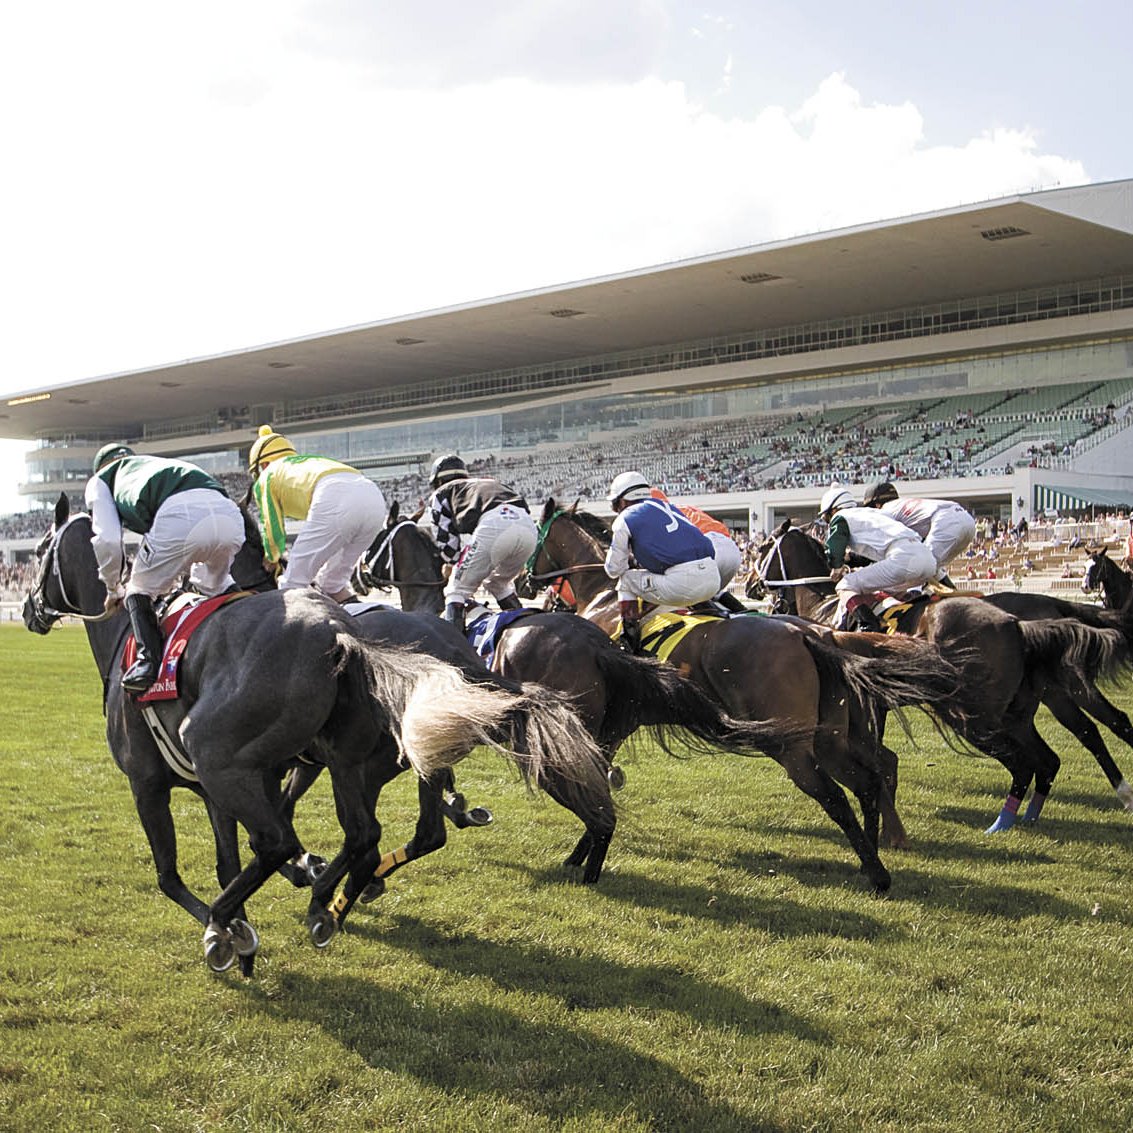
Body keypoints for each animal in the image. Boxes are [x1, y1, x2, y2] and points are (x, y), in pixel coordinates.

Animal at [516, 500, 974, 888]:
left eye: (536, 534)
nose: (524, 582)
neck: (603, 597)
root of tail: (810, 635)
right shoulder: (622, 718)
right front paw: (585, 848)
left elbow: (592, 777)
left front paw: (583, 850)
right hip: (832, 737)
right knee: (869, 778)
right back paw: (875, 852)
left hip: (791, 746)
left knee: (837, 794)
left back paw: (878, 871)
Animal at [747, 521, 1128, 833]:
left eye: (763, 548)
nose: (751, 586)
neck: (823, 610)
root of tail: (1018, 624)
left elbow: (876, 758)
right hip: (1019, 711)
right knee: (1056, 753)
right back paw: (1032, 816)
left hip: (981, 714)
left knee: (1048, 751)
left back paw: (1008, 821)